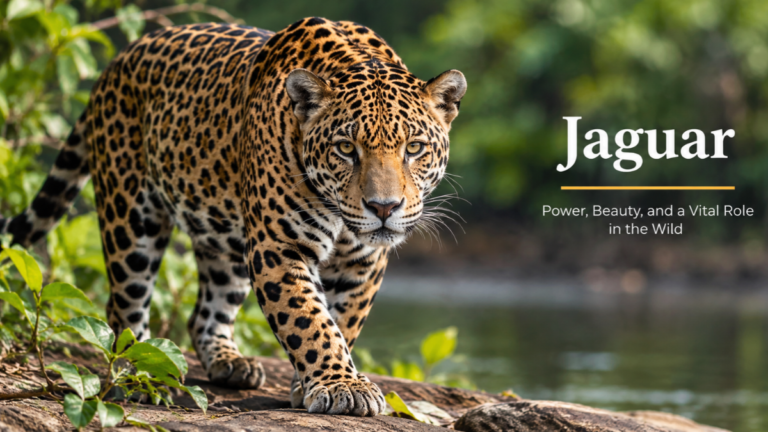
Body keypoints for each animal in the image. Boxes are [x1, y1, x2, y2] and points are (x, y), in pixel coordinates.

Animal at [0, 17, 466, 416]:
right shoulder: (279, 246)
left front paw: (313, 383)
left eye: (414, 148)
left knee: (204, 313)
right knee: (124, 305)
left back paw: (230, 363)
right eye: (346, 149)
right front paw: (340, 385)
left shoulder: (363, 262)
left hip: (226, 235)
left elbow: (343, 321)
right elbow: (309, 320)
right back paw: (138, 374)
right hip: (130, 217)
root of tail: (118, 60)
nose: (383, 208)